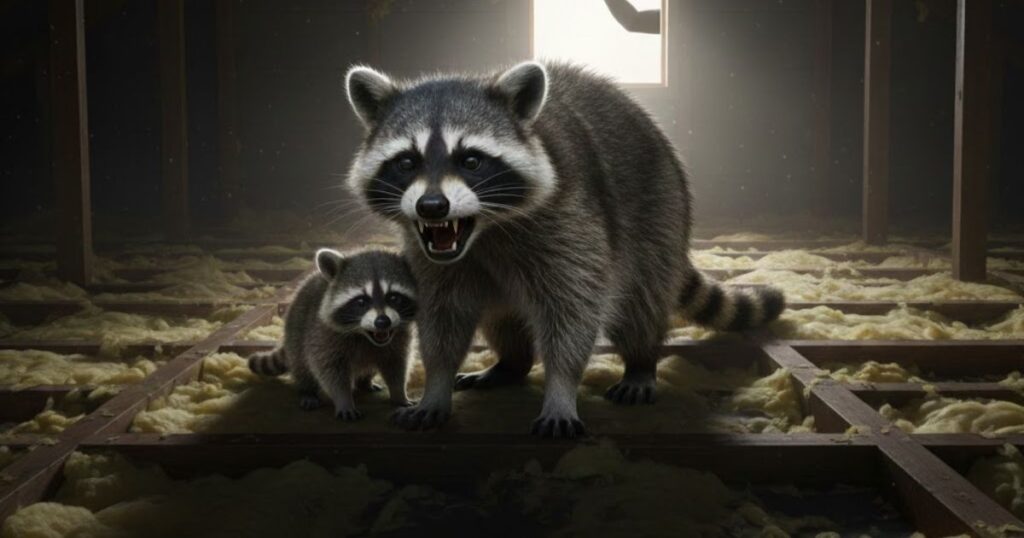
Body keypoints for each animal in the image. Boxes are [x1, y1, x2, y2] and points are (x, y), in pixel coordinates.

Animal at [247, 248, 417, 420]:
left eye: (394, 297)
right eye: (361, 301)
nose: (382, 322)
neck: (364, 335)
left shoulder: (400, 338)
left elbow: (397, 365)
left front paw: (399, 393)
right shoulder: (322, 335)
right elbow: (329, 371)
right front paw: (344, 400)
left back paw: (365, 382)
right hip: (296, 330)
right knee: (301, 364)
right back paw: (307, 391)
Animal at [343, 61, 785, 437]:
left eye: (470, 160)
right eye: (406, 162)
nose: (432, 206)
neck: (485, 233)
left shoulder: (572, 220)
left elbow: (573, 313)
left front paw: (561, 389)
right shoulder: (433, 258)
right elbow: (442, 318)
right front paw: (436, 387)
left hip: (659, 214)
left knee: (639, 302)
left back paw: (641, 362)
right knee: (502, 317)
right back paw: (511, 363)